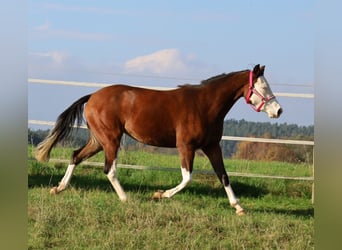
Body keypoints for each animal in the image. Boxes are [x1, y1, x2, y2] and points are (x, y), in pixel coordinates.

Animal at [34, 64, 282, 215]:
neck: (204, 105)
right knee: (109, 169)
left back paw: (59, 188)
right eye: (262, 86)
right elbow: (187, 178)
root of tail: (92, 96)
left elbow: (223, 175)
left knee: (75, 155)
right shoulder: (186, 146)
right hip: (111, 139)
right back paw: (126, 198)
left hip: (98, 140)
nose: (278, 110)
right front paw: (159, 194)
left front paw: (238, 207)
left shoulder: (212, 146)